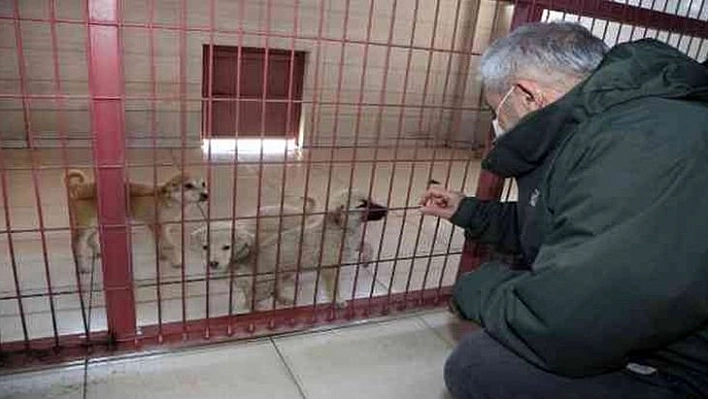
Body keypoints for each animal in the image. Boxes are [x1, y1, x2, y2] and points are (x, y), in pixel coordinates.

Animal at [64, 170, 209, 274]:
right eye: (188, 186)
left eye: (203, 184)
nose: (206, 195)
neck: (168, 200)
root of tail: (80, 187)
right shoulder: (159, 226)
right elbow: (170, 245)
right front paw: (176, 262)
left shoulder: (159, 227)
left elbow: (159, 242)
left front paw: (162, 255)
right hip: (87, 223)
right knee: (78, 243)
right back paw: (82, 266)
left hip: (96, 223)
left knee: (90, 239)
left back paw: (98, 252)